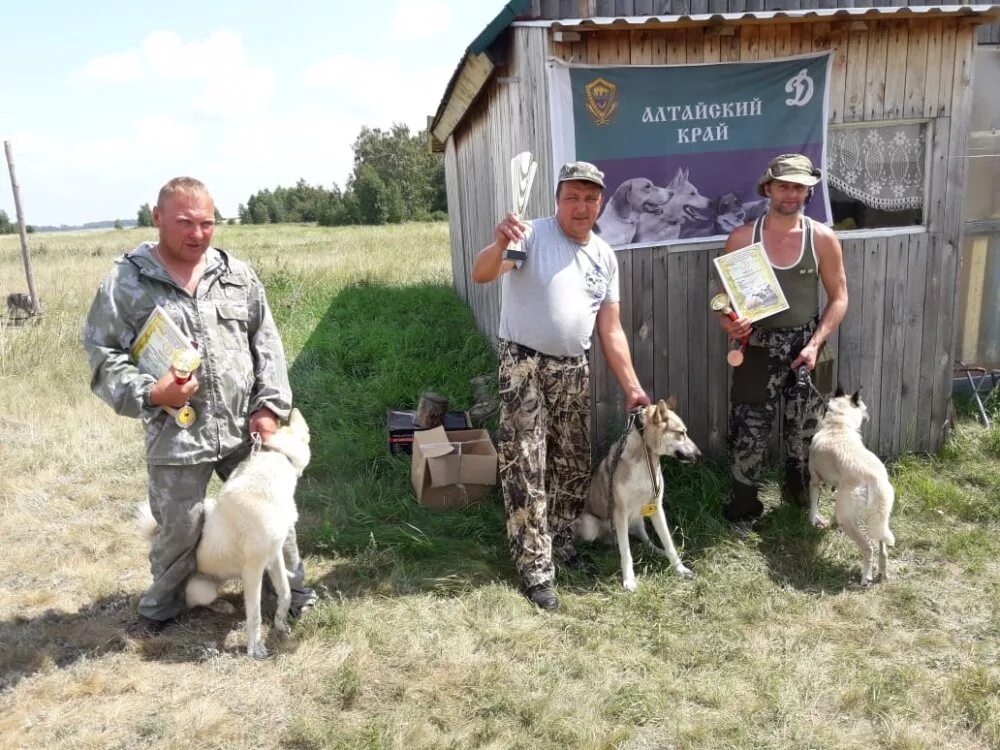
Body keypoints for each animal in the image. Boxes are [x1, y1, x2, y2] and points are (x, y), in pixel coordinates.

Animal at [137, 408, 308, 660]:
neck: (276, 458)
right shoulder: (253, 569)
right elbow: (254, 614)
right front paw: (255, 648)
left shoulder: (274, 554)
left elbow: (285, 592)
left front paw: (280, 625)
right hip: (202, 588)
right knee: (194, 602)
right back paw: (220, 606)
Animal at [576, 400, 700, 592]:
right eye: (681, 433)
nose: (699, 455)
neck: (645, 457)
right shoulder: (619, 513)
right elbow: (626, 553)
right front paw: (629, 580)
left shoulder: (656, 508)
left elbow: (669, 543)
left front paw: (680, 568)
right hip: (590, 526)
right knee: (600, 541)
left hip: (639, 520)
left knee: (646, 541)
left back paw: (658, 551)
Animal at [808, 390, 896, 592]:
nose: (869, 415)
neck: (838, 425)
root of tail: (875, 477)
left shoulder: (814, 480)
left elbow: (813, 505)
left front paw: (812, 521)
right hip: (879, 519)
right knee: (882, 548)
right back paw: (883, 574)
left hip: (848, 519)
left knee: (868, 547)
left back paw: (865, 578)